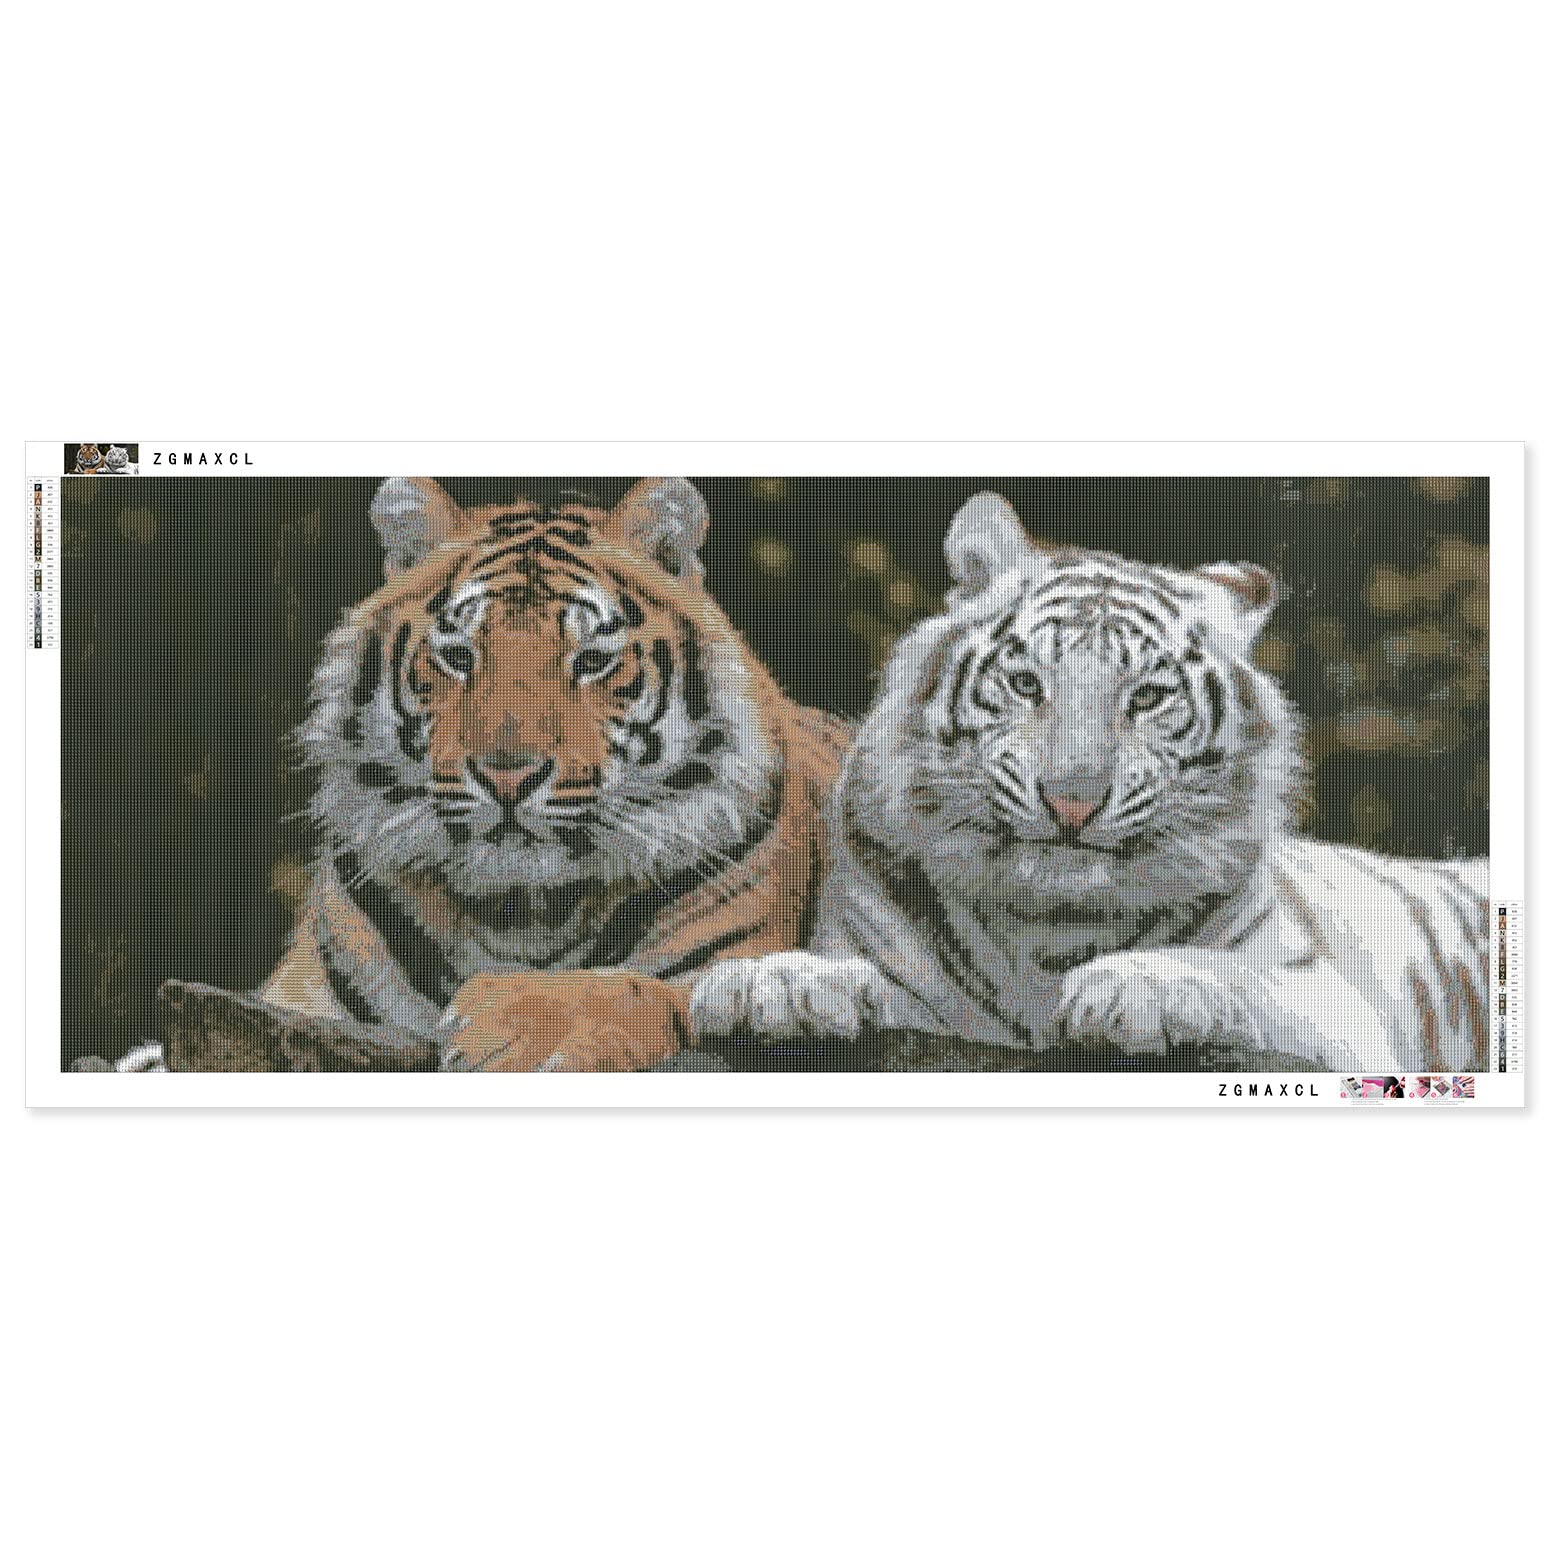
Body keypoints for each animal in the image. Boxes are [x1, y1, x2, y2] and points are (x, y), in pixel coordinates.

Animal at [138, 476, 846, 1072]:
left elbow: (639, 988)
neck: (518, 911)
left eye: (591, 659)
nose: (508, 777)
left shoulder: (731, 958)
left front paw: (502, 1027)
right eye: (457, 656)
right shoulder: (297, 1002)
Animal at [691, 491, 1490, 1073]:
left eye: (1147, 698)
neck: (1048, 928)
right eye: (1025, 683)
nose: (1072, 801)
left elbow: (1233, 972)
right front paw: (773, 983)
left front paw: (1133, 986)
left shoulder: (1335, 1007)